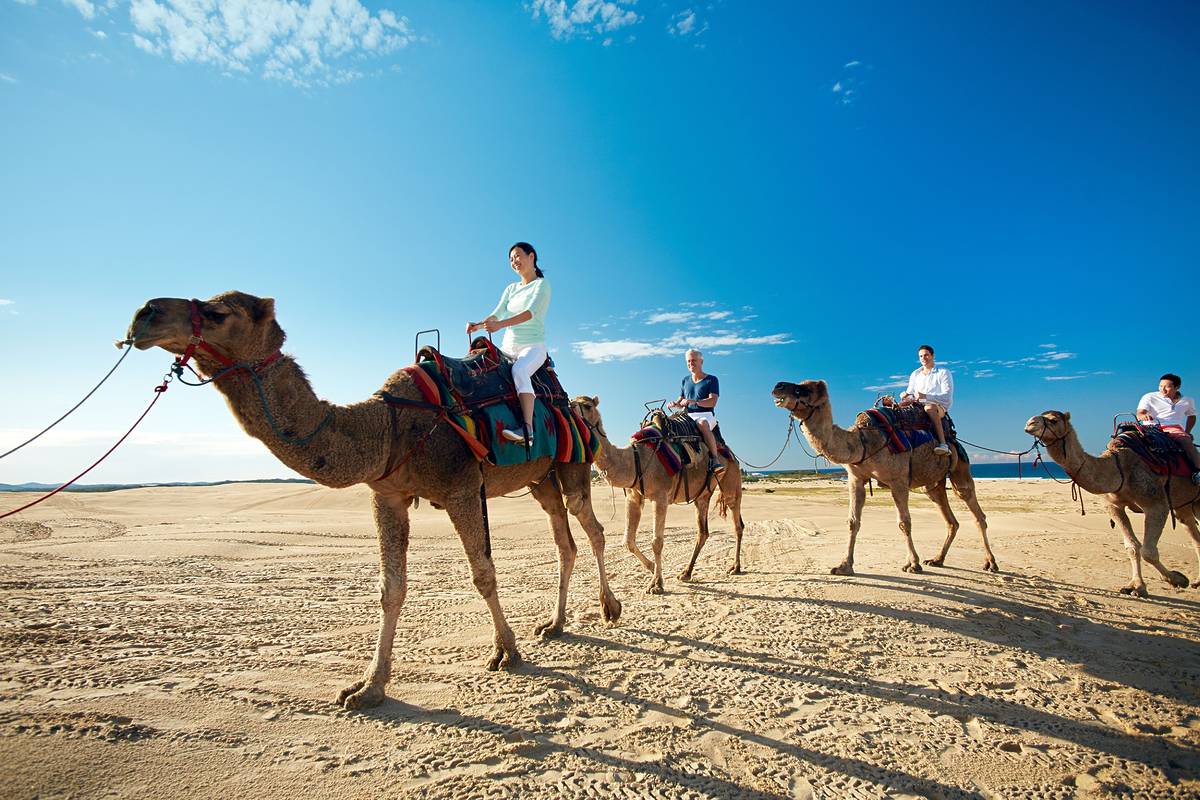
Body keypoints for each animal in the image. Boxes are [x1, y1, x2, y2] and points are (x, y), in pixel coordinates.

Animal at [125, 291, 621, 709]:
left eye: (219, 312)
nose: (144, 313)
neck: (391, 426)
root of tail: (571, 402)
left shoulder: (461, 487)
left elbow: (482, 574)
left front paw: (506, 652)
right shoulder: (388, 496)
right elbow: (390, 589)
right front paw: (367, 688)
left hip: (573, 467)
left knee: (592, 528)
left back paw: (609, 609)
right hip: (541, 480)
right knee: (564, 542)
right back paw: (554, 624)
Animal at [570, 396, 745, 593]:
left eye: (587, 405)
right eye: (572, 400)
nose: (569, 405)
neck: (635, 459)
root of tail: (730, 453)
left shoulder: (660, 497)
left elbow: (657, 542)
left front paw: (656, 584)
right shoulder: (633, 497)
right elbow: (628, 541)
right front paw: (652, 567)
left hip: (731, 479)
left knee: (737, 522)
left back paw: (735, 567)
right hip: (702, 495)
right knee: (703, 532)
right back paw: (686, 573)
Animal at [772, 380, 997, 575]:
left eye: (804, 389)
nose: (778, 386)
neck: (863, 441)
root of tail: (953, 438)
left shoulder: (898, 480)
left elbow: (904, 522)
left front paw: (912, 564)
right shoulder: (855, 479)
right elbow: (853, 521)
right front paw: (844, 566)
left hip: (960, 466)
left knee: (975, 509)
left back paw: (990, 563)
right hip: (934, 484)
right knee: (949, 517)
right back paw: (937, 559)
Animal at [1024, 411, 1200, 596]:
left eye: (1053, 420)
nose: (1029, 424)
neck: (1118, 467)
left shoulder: (1156, 503)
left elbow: (1148, 551)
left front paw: (1178, 579)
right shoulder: (1113, 507)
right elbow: (1132, 546)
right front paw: (1136, 586)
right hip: (1183, 505)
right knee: (1191, 529)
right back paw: (1197, 581)